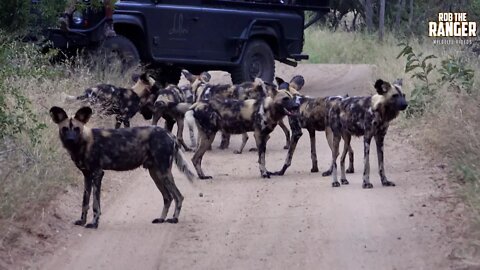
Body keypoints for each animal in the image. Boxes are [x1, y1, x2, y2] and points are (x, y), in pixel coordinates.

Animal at [49, 105, 194, 228]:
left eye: (76, 129)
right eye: (65, 129)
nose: (70, 140)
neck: (83, 143)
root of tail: (170, 134)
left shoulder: (97, 173)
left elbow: (96, 203)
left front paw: (94, 223)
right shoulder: (87, 175)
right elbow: (85, 201)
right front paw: (82, 221)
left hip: (163, 173)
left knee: (178, 196)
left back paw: (174, 219)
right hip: (155, 173)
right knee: (168, 197)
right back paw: (161, 219)